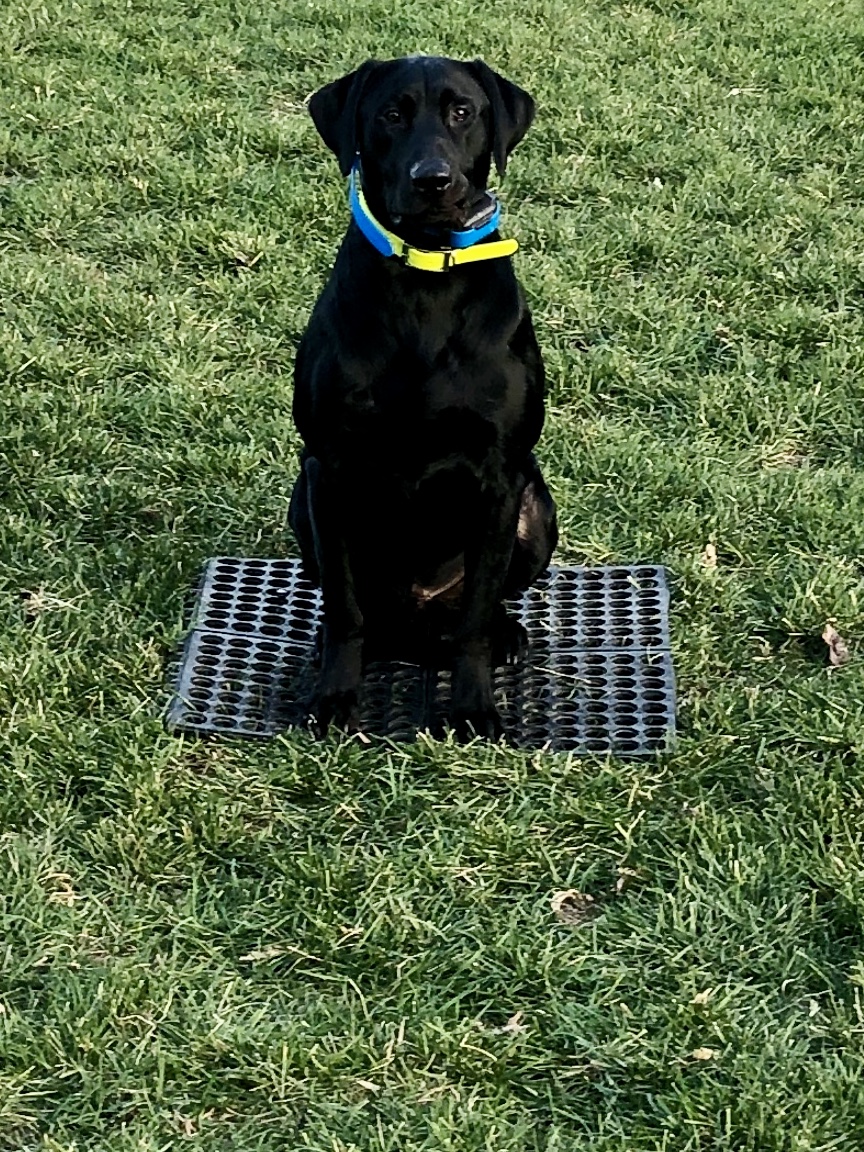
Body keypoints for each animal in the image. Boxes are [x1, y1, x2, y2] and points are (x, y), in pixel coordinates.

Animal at [291, 56, 557, 737]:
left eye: (463, 111)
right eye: (391, 113)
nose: (433, 180)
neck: (426, 279)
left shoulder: (499, 478)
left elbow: (475, 623)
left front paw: (473, 707)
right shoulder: (330, 470)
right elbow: (345, 610)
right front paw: (336, 695)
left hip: (536, 506)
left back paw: (506, 634)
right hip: (303, 502)